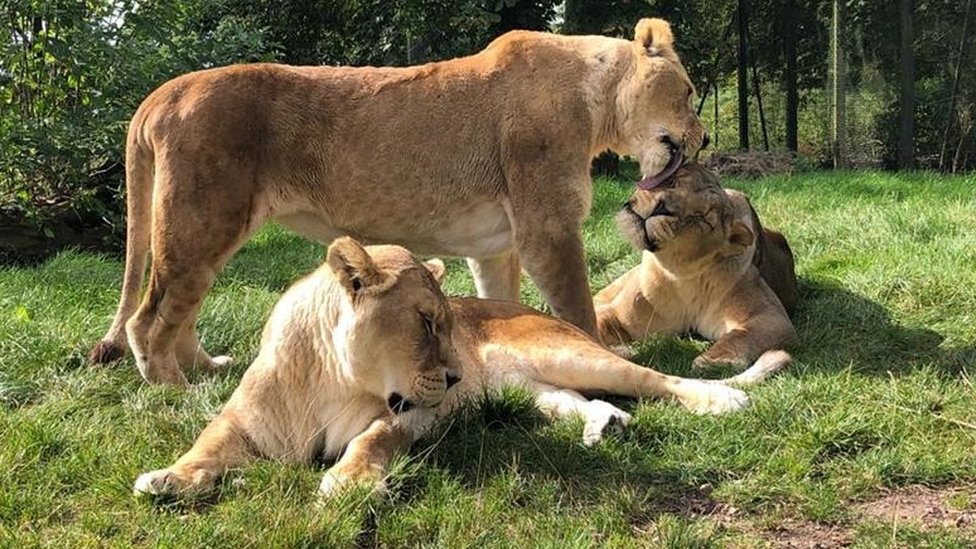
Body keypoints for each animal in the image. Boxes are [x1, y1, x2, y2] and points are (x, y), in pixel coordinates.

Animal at [88, 18, 708, 386]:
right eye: (690, 93)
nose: (703, 140)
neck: (595, 100)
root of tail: (164, 91)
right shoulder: (549, 229)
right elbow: (578, 311)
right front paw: (609, 357)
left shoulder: (497, 248)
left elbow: (507, 304)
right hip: (200, 223)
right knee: (149, 318)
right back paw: (174, 387)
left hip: (204, 231)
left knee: (180, 310)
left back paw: (204, 367)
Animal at [133, 237, 783, 501]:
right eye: (426, 322)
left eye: (448, 324)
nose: (452, 380)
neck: (330, 377)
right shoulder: (241, 419)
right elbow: (205, 443)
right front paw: (168, 478)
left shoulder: (410, 417)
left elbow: (370, 439)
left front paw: (350, 482)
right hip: (532, 390)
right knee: (582, 401)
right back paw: (607, 425)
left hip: (565, 353)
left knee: (659, 381)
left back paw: (722, 399)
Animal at [594, 163, 797, 370]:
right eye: (671, 182)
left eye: (702, 218)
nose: (661, 208)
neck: (681, 277)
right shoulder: (620, 315)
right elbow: (597, 324)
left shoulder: (771, 317)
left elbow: (742, 337)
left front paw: (712, 360)